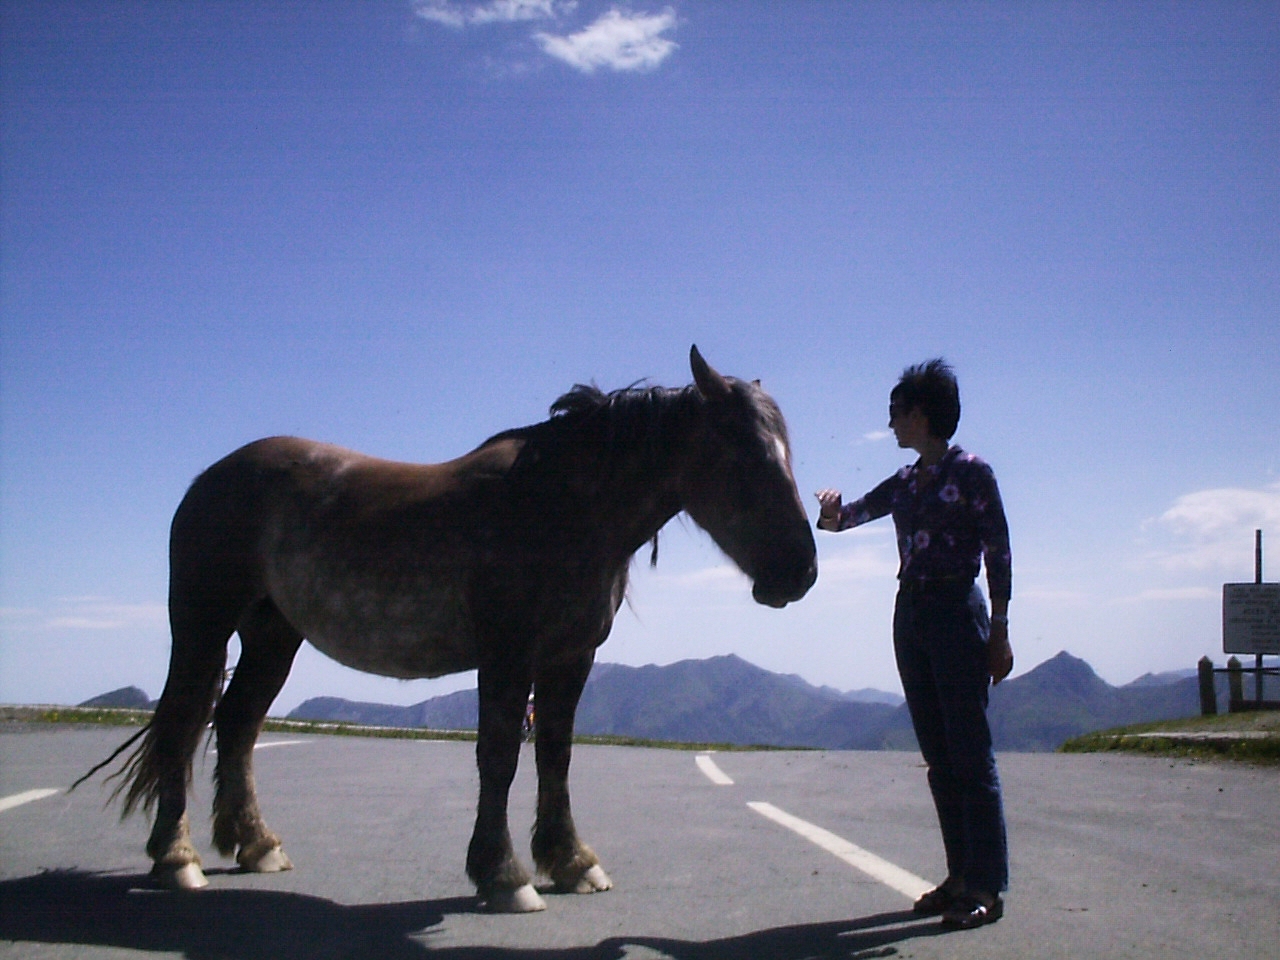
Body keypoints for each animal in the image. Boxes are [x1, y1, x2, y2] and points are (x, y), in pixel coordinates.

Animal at [77, 343, 819, 911]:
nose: (800, 573)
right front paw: (504, 875)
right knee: (183, 726)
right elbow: (501, 757)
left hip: (272, 635)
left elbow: (555, 756)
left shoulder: (569, 658)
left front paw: (571, 861)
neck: (561, 505)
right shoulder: (508, 654)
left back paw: (256, 844)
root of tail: (210, 477)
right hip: (203, 625)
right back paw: (176, 858)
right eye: (744, 458)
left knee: (236, 725)